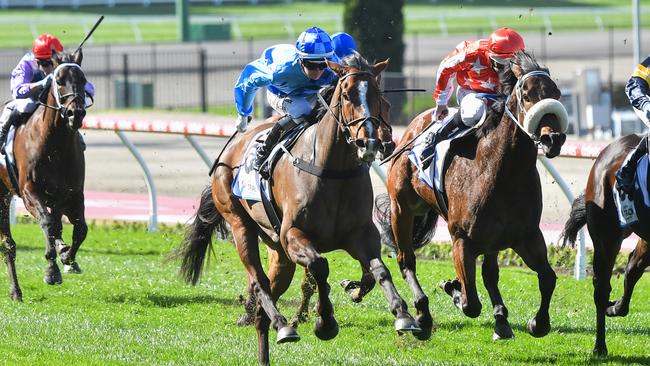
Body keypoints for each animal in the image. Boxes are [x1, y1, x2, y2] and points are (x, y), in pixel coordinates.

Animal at [0, 49, 88, 300]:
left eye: (83, 80)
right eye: (58, 81)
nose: (76, 113)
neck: (55, 146)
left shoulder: (73, 193)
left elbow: (80, 229)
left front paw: (67, 257)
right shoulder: (30, 193)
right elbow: (47, 224)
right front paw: (52, 270)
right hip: (2, 195)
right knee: (8, 244)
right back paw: (16, 291)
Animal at [170, 55, 418, 364]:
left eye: (379, 96)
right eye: (347, 94)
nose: (371, 142)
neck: (332, 169)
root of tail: (229, 152)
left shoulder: (361, 235)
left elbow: (378, 271)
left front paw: (402, 313)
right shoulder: (293, 236)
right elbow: (319, 267)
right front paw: (325, 322)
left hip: (279, 253)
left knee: (262, 310)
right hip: (241, 225)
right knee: (258, 282)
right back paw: (283, 325)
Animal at [374, 50, 568, 340]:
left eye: (556, 93)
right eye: (527, 95)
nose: (553, 139)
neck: (502, 173)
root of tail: (411, 128)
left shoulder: (527, 236)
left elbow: (547, 278)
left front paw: (537, 322)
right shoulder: (462, 240)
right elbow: (471, 304)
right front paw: (453, 288)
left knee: (490, 273)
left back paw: (501, 321)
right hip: (402, 210)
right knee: (406, 260)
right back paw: (422, 315)